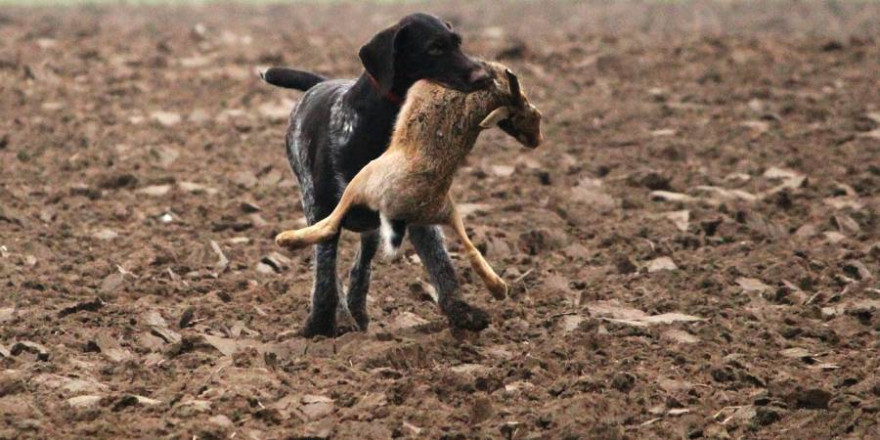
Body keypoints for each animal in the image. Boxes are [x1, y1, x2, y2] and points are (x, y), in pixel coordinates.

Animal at [262, 13, 496, 336]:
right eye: (434, 48)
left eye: (458, 43)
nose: (485, 76)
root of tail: (320, 84)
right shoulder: (324, 211)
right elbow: (325, 275)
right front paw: (319, 325)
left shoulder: (418, 213)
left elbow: (441, 265)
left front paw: (462, 311)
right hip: (311, 203)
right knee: (329, 266)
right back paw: (341, 315)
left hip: (369, 228)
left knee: (361, 266)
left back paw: (357, 311)